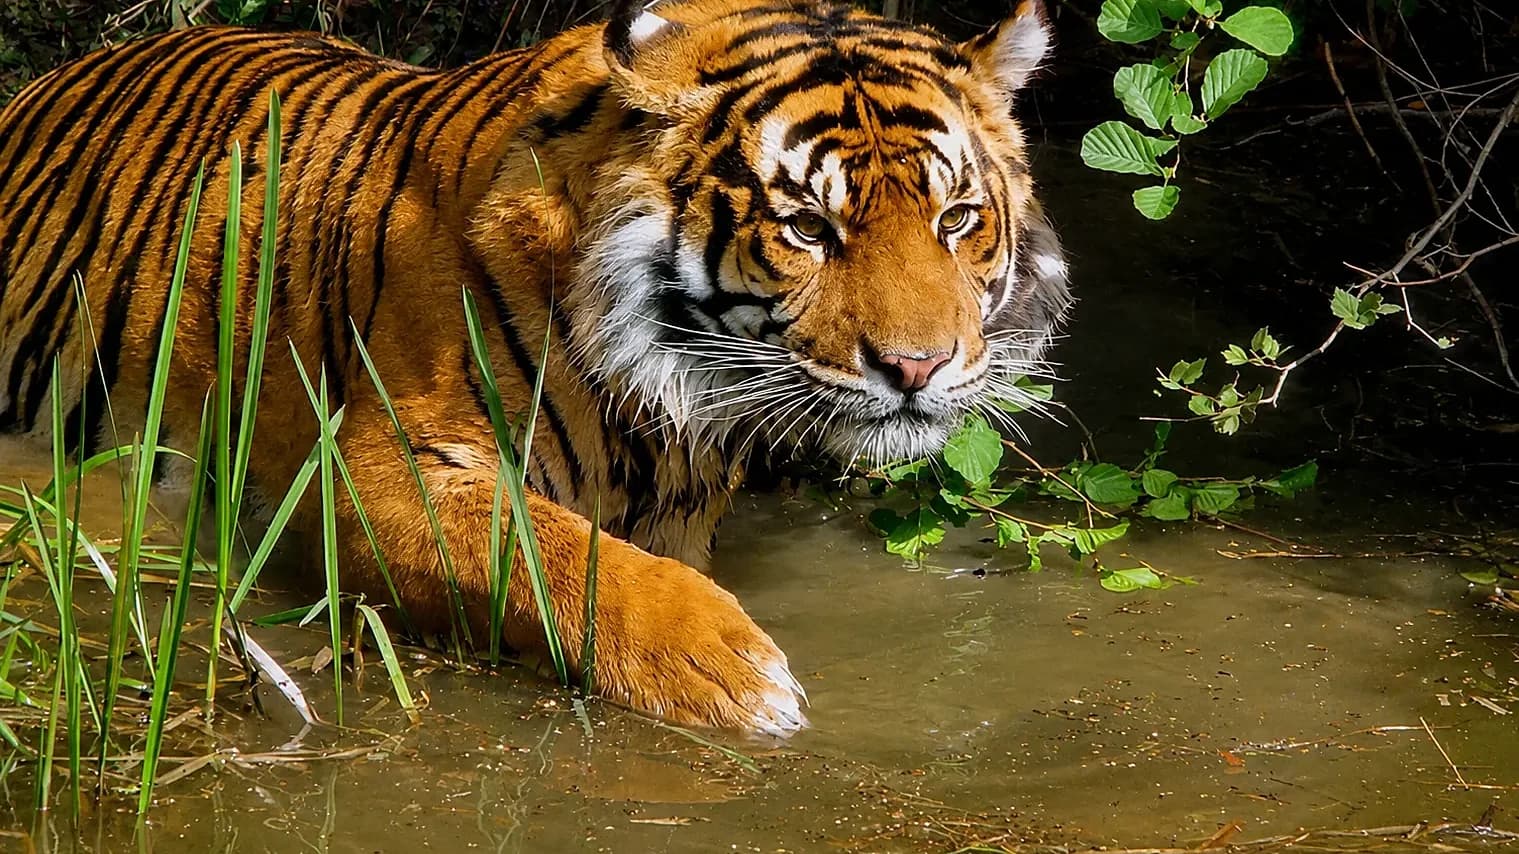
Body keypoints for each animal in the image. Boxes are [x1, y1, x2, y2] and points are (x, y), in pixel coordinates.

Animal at [0, 0, 1069, 733]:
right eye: (808, 228)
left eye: (956, 220)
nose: (918, 367)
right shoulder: (374, 470)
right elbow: (558, 555)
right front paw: (737, 677)